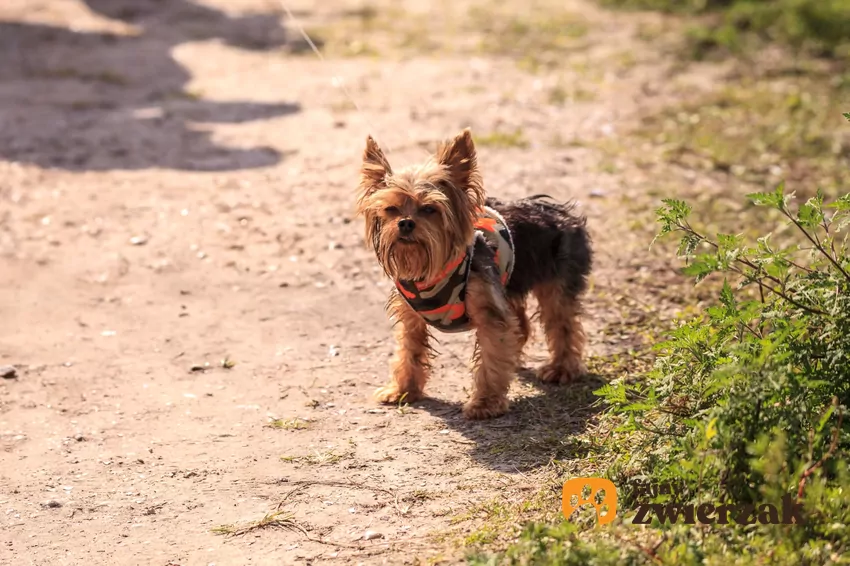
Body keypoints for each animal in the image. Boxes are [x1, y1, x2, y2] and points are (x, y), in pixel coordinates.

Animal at [354, 130, 592, 422]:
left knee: (562, 323)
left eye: (429, 209)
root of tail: (560, 210)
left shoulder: (489, 311)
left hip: (556, 281)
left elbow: (491, 357)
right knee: (522, 325)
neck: (432, 272)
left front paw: (485, 403)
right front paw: (403, 390)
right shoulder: (411, 316)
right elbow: (410, 351)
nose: (406, 223)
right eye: (391, 209)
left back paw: (562, 368)